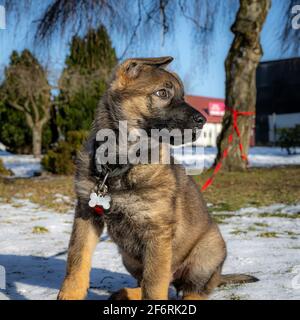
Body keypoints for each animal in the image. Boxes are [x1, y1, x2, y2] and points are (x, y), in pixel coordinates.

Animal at [58, 56, 258, 298]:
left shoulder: (157, 232)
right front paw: (69, 294)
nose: (203, 120)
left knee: (192, 289)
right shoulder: (86, 214)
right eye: (162, 93)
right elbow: (76, 261)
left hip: (207, 252)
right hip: (129, 257)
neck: (119, 165)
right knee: (152, 282)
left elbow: (154, 284)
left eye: (183, 96)